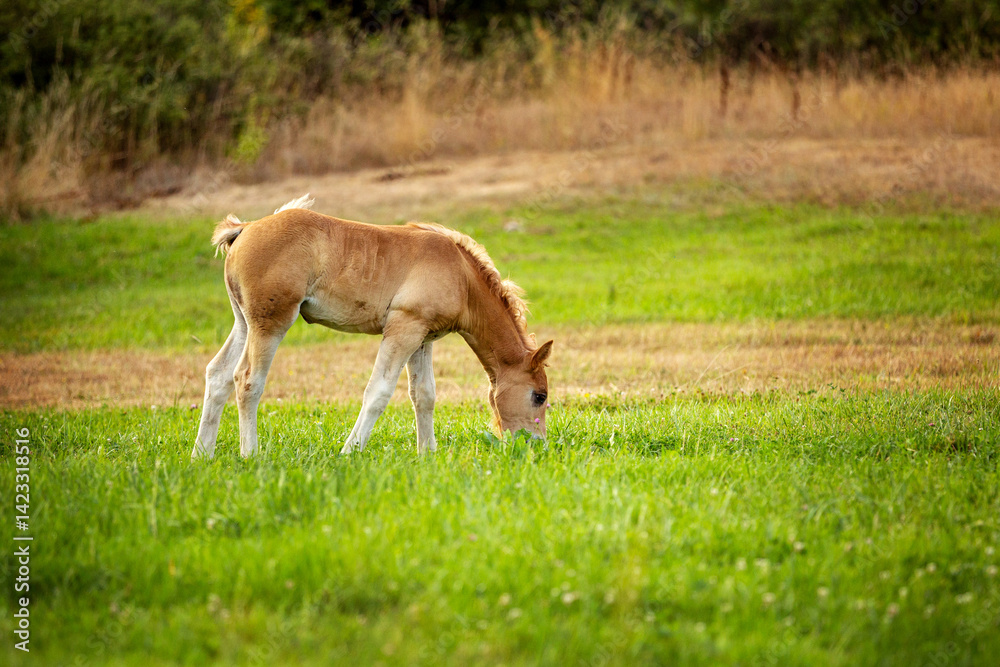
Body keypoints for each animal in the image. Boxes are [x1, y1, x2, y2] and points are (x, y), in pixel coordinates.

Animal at [191, 195, 553, 459]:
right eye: (540, 396)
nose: (535, 445)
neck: (461, 275)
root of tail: (245, 228)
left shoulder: (423, 338)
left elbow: (424, 395)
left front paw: (428, 455)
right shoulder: (403, 329)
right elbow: (378, 392)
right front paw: (349, 452)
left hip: (244, 323)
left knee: (217, 374)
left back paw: (202, 455)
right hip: (271, 324)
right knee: (246, 379)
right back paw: (250, 455)